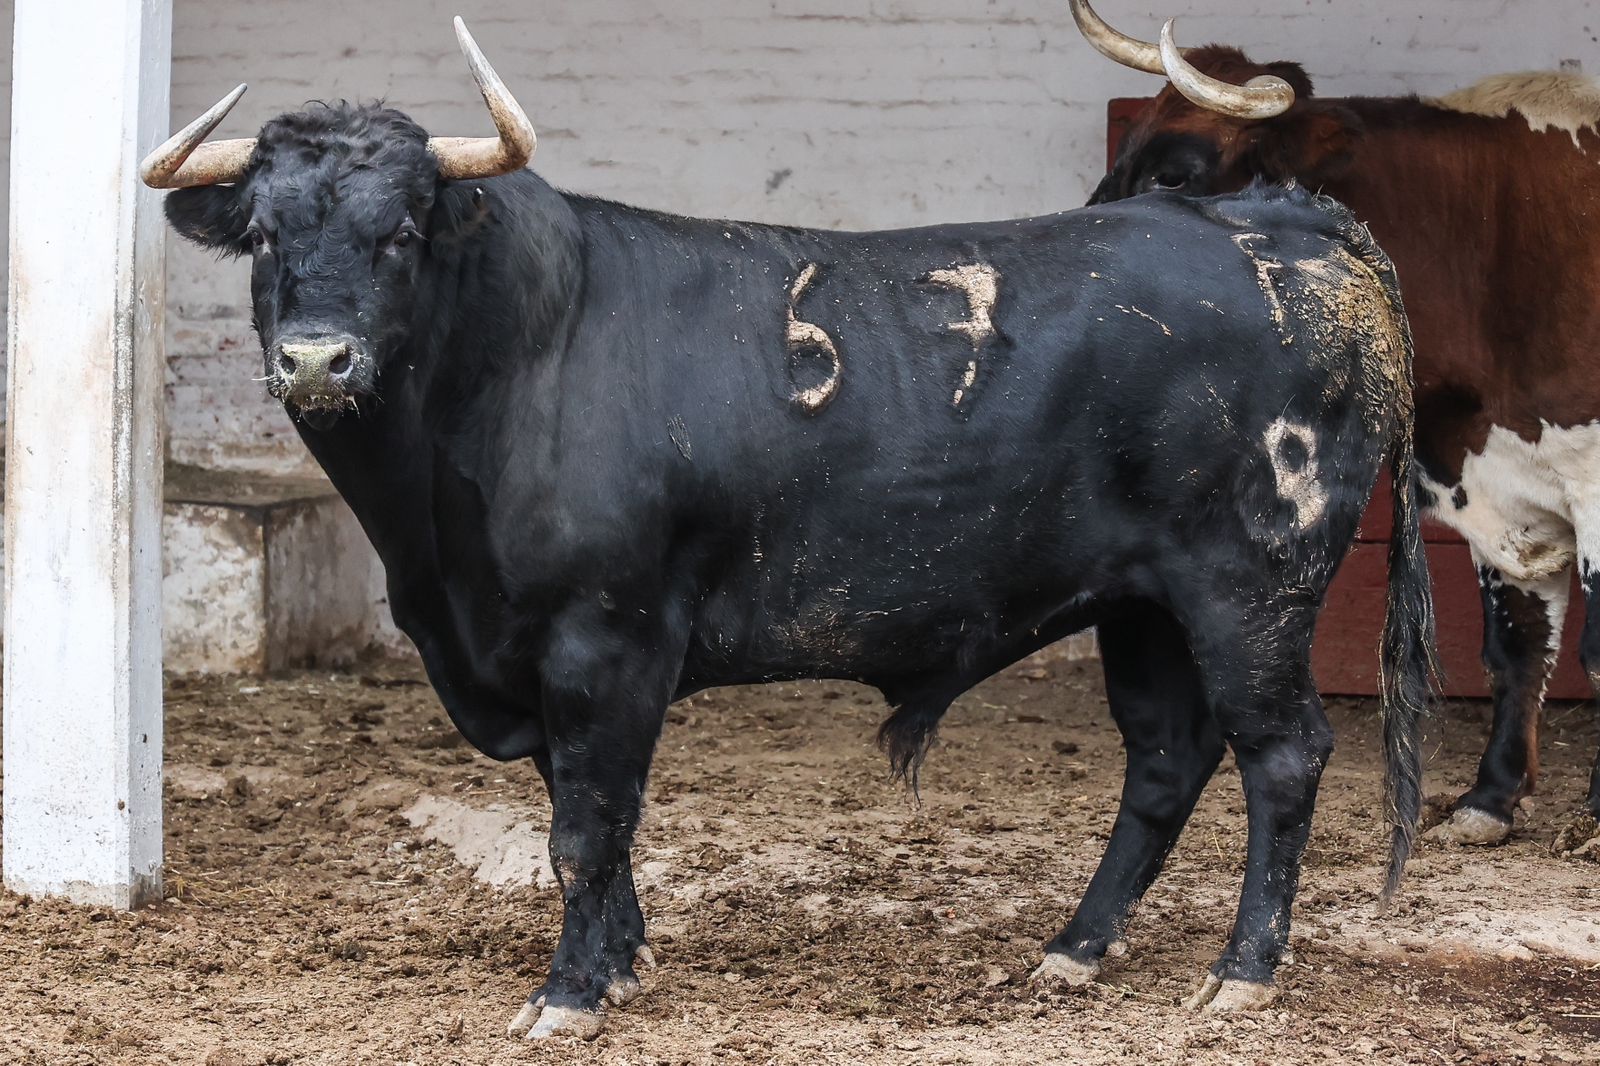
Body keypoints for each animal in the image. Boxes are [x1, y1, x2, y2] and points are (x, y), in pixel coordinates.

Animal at [162, 104, 1440, 1030]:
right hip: (1142, 607)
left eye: (401, 233)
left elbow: (584, 827)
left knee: (1284, 755)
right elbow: (594, 818)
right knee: (1167, 761)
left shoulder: (606, 638)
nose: (316, 359)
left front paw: (569, 993)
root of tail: (1283, 218)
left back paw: (1243, 970)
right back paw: (1073, 950)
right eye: (265, 234)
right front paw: (624, 961)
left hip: (1249, 590)